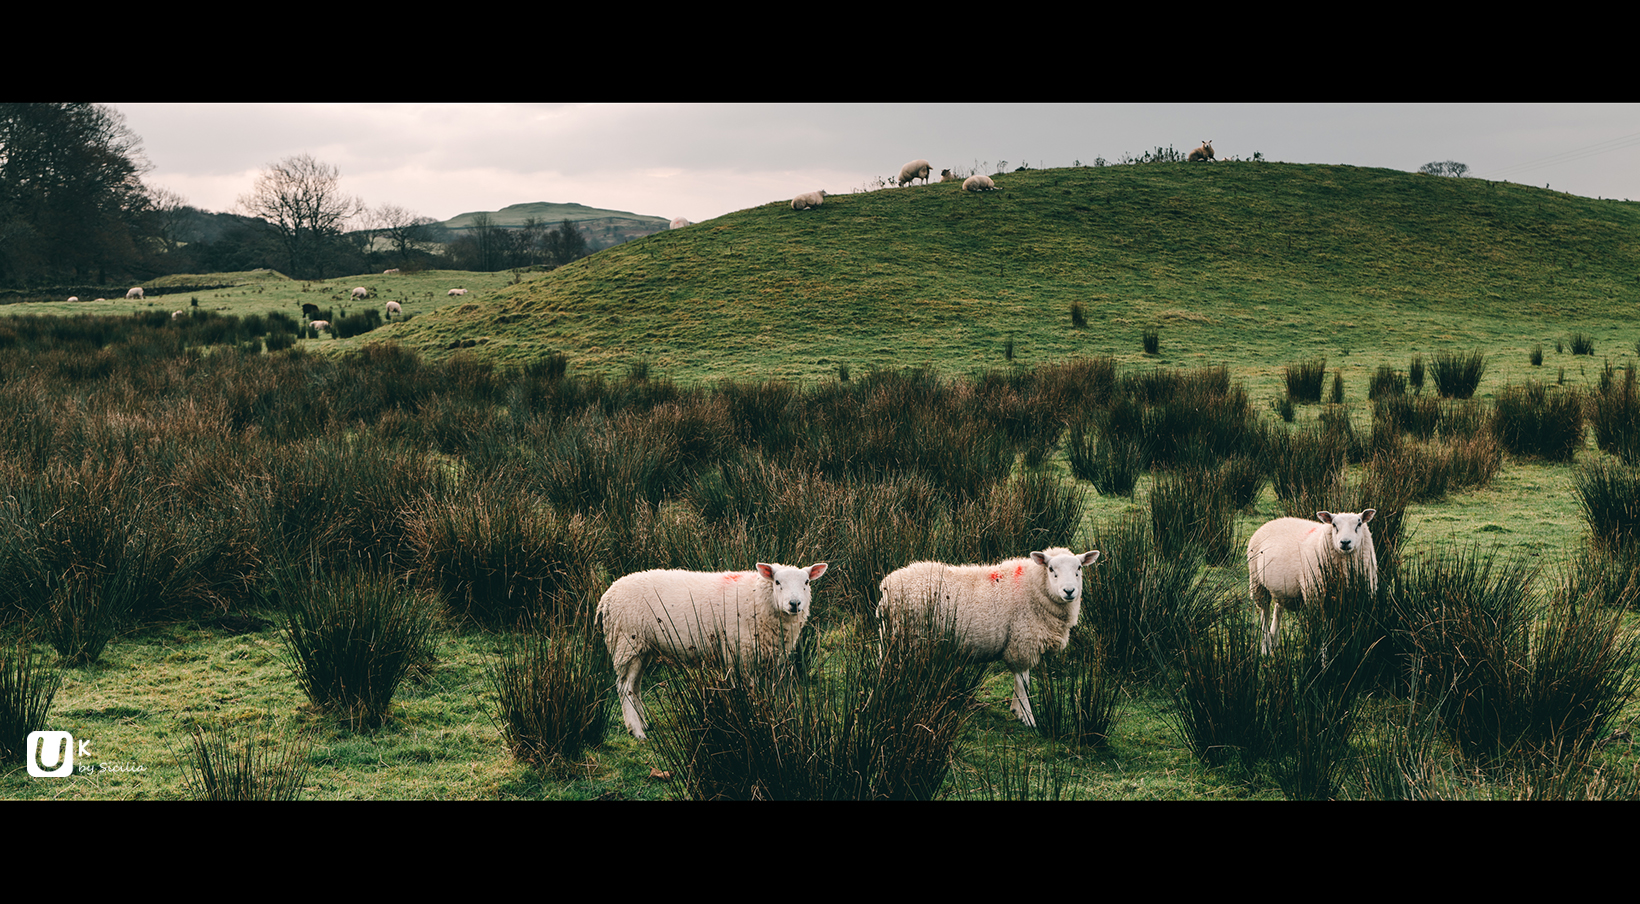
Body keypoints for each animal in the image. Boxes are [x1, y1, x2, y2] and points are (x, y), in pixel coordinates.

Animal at [600, 557, 833, 741]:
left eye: (806, 582)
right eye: (777, 582)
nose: (795, 604)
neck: (758, 598)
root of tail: (608, 596)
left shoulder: (768, 658)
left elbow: (767, 693)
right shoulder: (739, 654)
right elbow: (745, 692)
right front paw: (749, 722)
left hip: (643, 647)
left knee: (635, 685)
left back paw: (643, 722)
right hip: (627, 641)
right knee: (624, 687)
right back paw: (636, 730)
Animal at [872, 544, 1102, 728]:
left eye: (1079, 569)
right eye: (1051, 569)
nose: (1069, 591)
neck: (1034, 587)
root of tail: (887, 585)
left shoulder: (1020, 644)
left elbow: (1022, 681)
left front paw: (1016, 710)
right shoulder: (1021, 642)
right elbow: (1023, 682)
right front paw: (1027, 717)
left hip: (891, 635)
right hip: (908, 636)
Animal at [1246, 511, 1377, 652]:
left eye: (1359, 524)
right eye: (1334, 525)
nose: (1345, 542)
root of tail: (1273, 521)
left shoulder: (1361, 599)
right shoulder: (1317, 598)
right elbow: (1322, 630)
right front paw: (1323, 653)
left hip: (1281, 588)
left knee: (1278, 610)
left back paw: (1274, 642)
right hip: (1257, 583)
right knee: (1265, 614)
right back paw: (1265, 648)